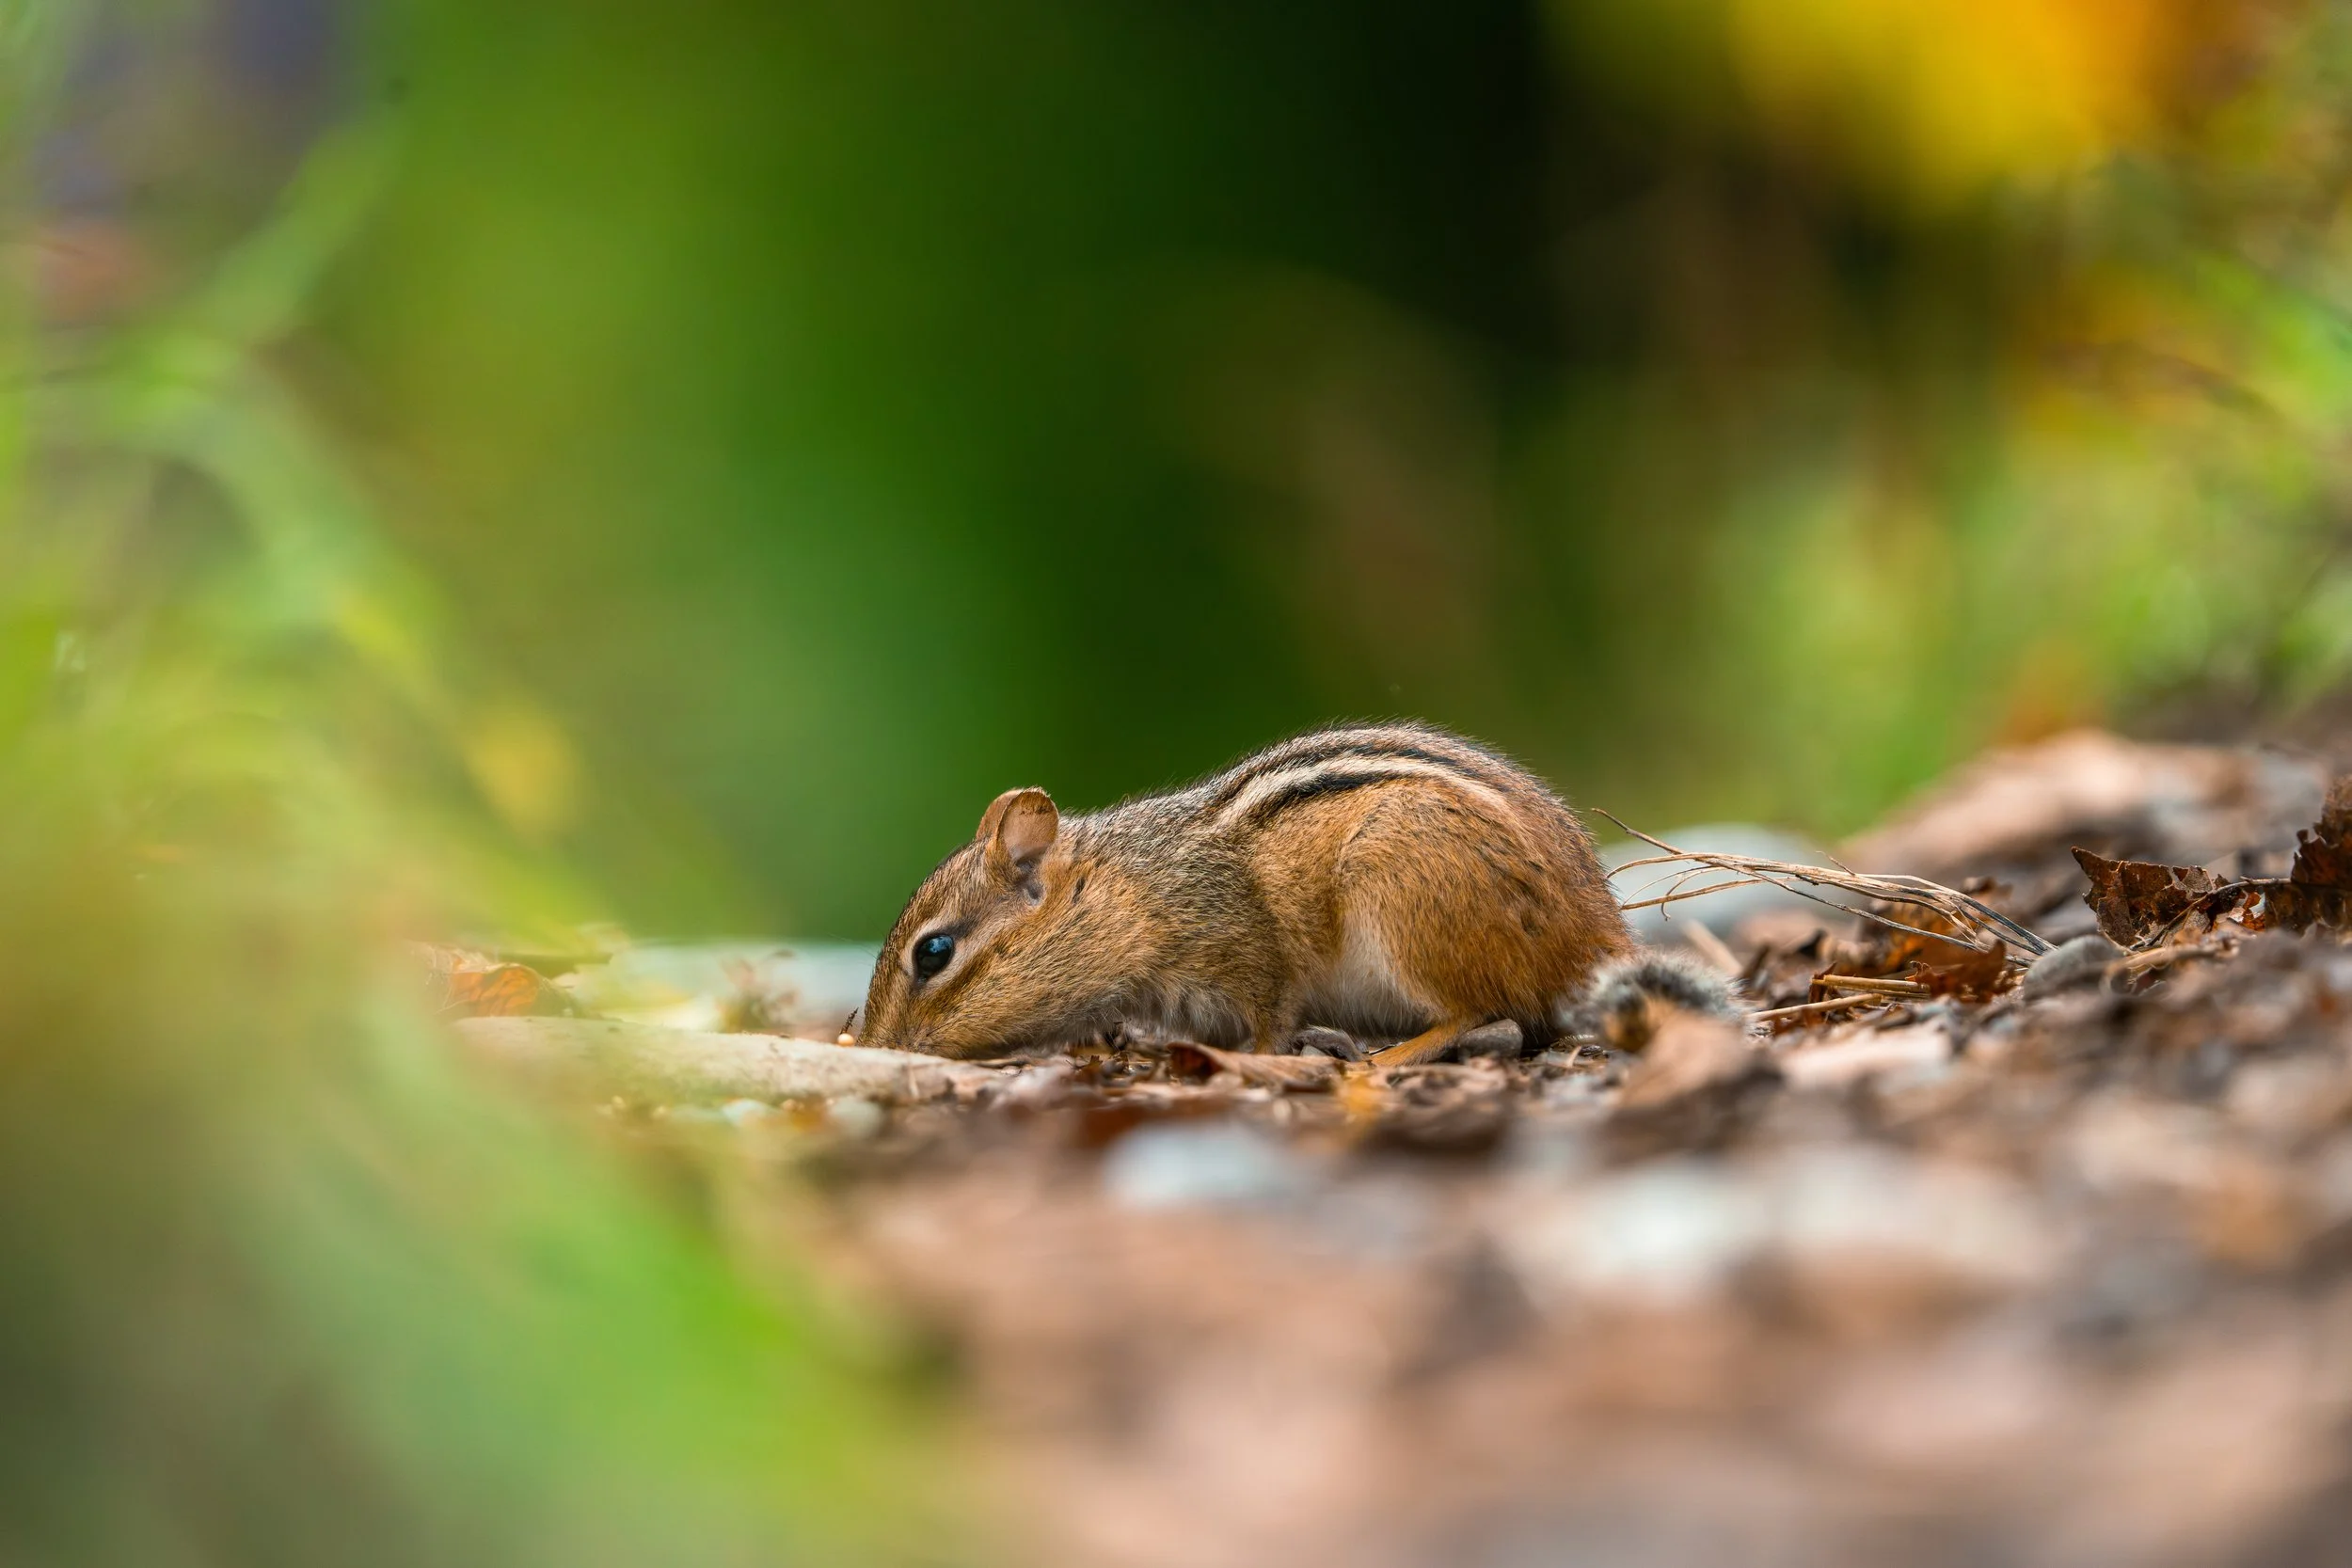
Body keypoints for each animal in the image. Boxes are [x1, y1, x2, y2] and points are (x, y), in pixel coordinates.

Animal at [856, 721, 1739, 1063]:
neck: (1130, 887)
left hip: (1401, 890)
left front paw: (1253, 1056)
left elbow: (1271, 1012)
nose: (874, 1045)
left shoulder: (1245, 949)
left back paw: (1384, 1056)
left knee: (1482, 1013)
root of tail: (1598, 933)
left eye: (934, 952)